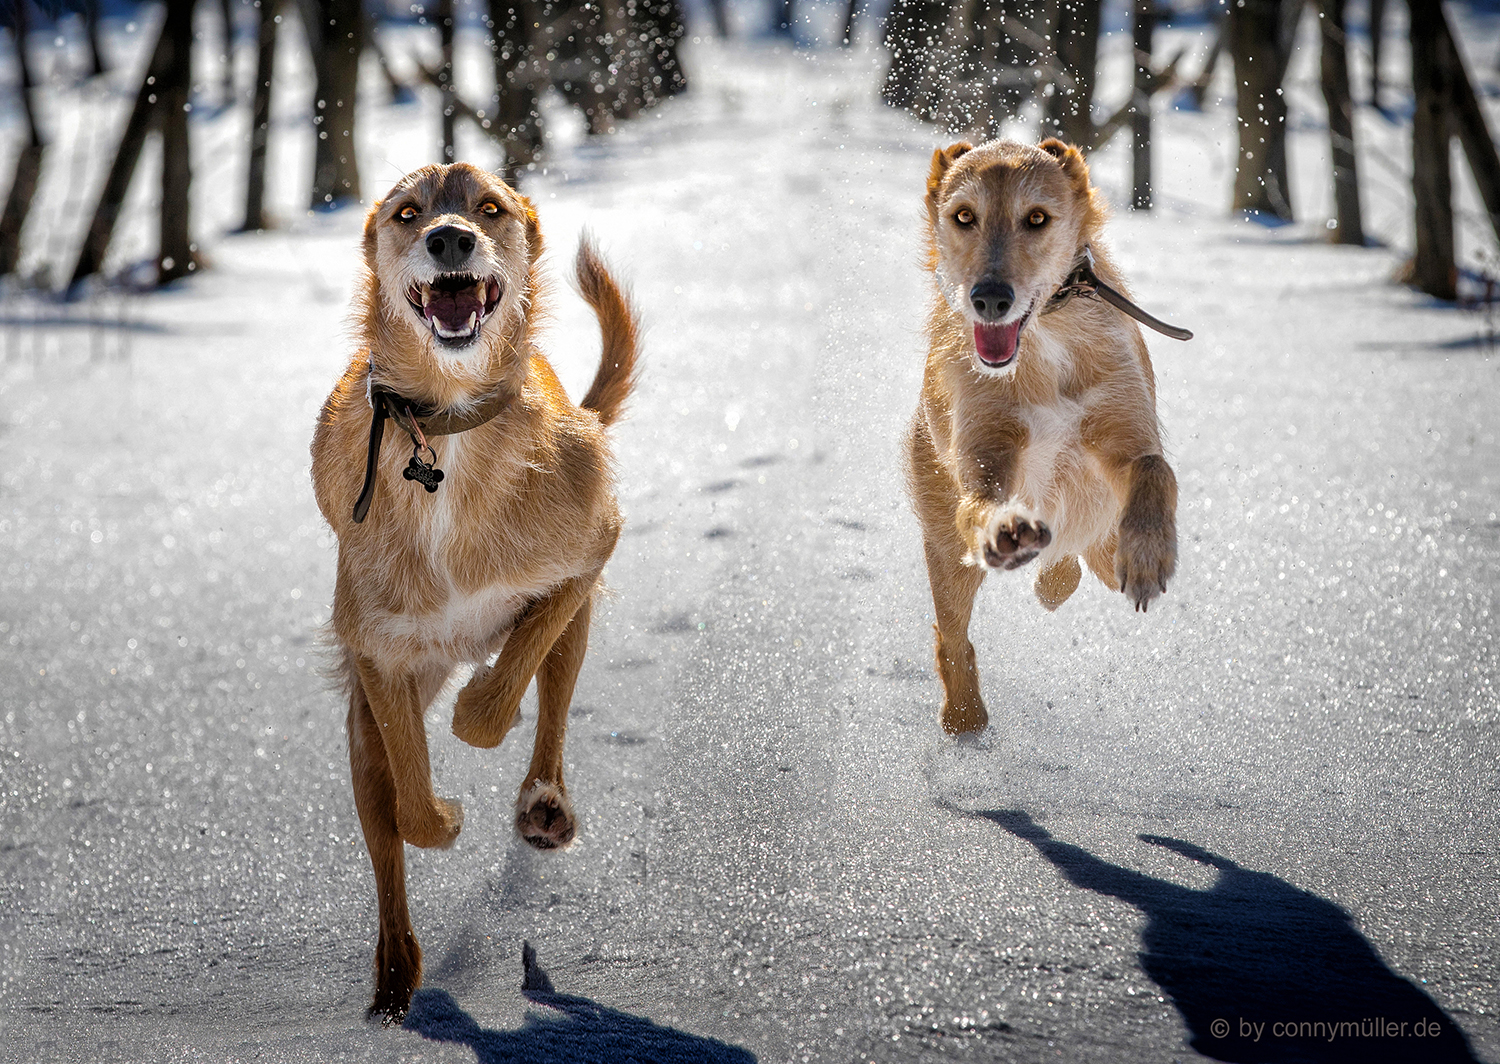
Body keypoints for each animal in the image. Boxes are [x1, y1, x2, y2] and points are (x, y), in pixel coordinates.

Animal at [310, 162, 639, 1014]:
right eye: (407, 213)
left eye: (490, 207)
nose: (451, 238)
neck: (444, 428)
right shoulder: (380, 653)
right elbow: (413, 807)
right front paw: (443, 818)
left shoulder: (592, 549)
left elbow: (498, 697)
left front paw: (480, 709)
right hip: (359, 732)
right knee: (386, 840)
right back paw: (394, 980)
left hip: (576, 625)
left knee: (550, 700)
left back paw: (544, 803)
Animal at [900, 138, 1182, 738]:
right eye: (964, 216)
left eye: (1036, 218)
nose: (989, 298)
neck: (1043, 342)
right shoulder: (983, 455)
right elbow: (983, 502)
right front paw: (1006, 527)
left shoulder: (1125, 430)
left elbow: (1154, 467)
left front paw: (1149, 553)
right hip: (946, 548)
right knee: (952, 636)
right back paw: (965, 718)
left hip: (1100, 540)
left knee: (1078, 561)